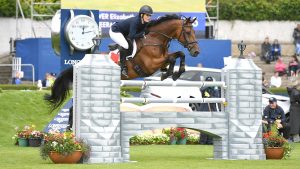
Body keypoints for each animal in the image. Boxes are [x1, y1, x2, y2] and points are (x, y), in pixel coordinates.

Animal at [45, 14, 199, 128]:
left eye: (194, 32)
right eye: (187, 32)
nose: (196, 52)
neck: (154, 40)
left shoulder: (161, 60)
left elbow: (179, 54)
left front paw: (175, 72)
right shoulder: (150, 65)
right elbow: (172, 58)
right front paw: (169, 74)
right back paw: (70, 129)